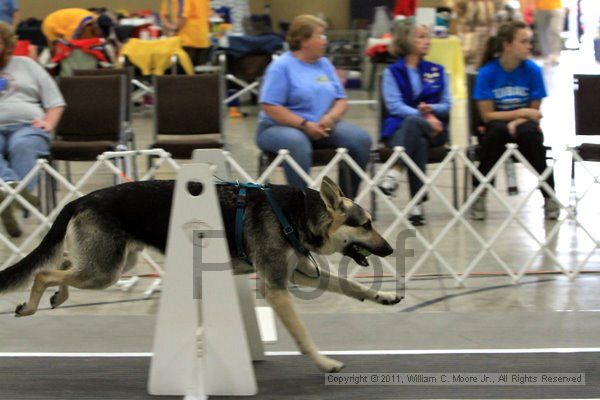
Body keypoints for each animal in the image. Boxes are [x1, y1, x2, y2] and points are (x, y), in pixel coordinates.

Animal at [2, 177, 404, 372]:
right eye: (365, 225)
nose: (389, 250)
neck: (300, 214)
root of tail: (81, 198)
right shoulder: (276, 287)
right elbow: (303, 335)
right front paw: (323, 362)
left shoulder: (301, 275)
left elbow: (350, 286)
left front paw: (382, 296)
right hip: (105, 271)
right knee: (45, 273)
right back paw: (32, 305)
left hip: (115, 265)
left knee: (63, 265)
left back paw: (59, 296)